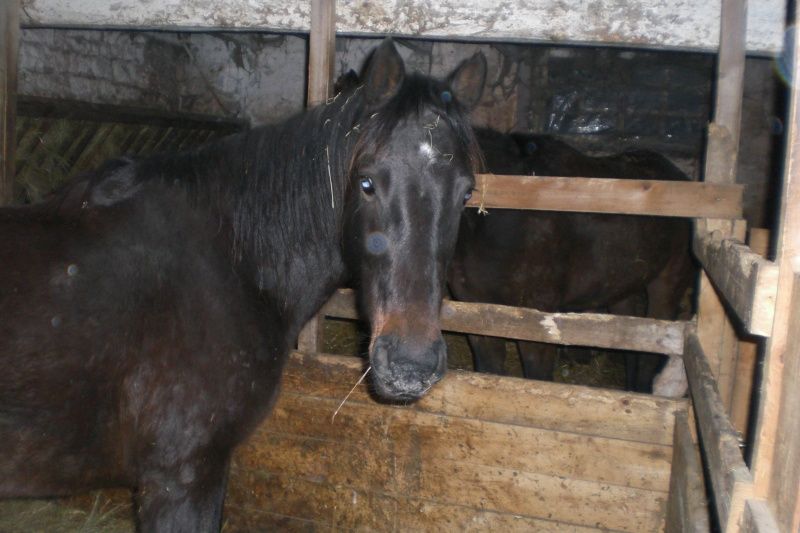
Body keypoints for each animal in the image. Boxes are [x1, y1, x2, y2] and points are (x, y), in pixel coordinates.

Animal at [448, 130, 693, 393]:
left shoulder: (538, 317)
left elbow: (537, 377)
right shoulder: (477, 311)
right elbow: (489, 371)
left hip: (668, 283)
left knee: (652, 350)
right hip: (620, 286)